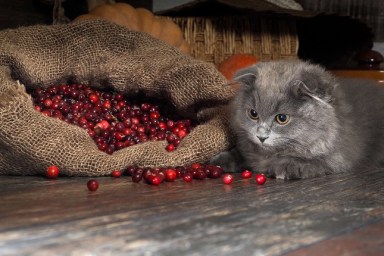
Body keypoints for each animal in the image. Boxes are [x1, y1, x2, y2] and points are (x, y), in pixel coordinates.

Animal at [212, 59, 384, 179]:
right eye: (253, 114)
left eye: (282, 118)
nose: (261, 136)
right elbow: (241, 154)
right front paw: (218, 161)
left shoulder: (340, 157)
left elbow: (314, 161)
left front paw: (284, 168)